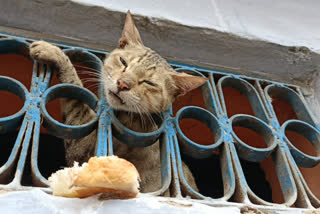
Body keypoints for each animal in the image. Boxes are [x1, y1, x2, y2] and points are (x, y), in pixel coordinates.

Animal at [28, 10, 206, 193]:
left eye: (149, 83)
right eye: (123, 62)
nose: (123, 84)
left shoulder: (85, 151)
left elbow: (74, 87)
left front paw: (53, 52)